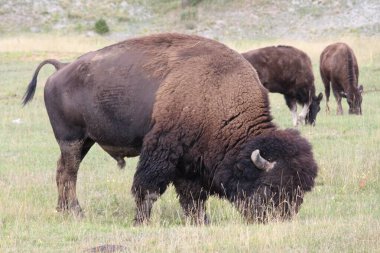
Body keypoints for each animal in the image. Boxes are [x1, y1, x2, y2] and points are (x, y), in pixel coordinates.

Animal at [23, 33, 320, 223]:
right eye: (272, 187)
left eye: (300, 190)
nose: (281, 217)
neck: (219, 94)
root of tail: (61, 68)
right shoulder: (162, 147)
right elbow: (149, 187)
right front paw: (141, 220)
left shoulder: (190, 158)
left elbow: (193, 195)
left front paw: (200, 220)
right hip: (71, 139)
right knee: (69, 173)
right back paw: (75, 212)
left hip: (85, 140)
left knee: (63, 170)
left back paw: (65, 211)